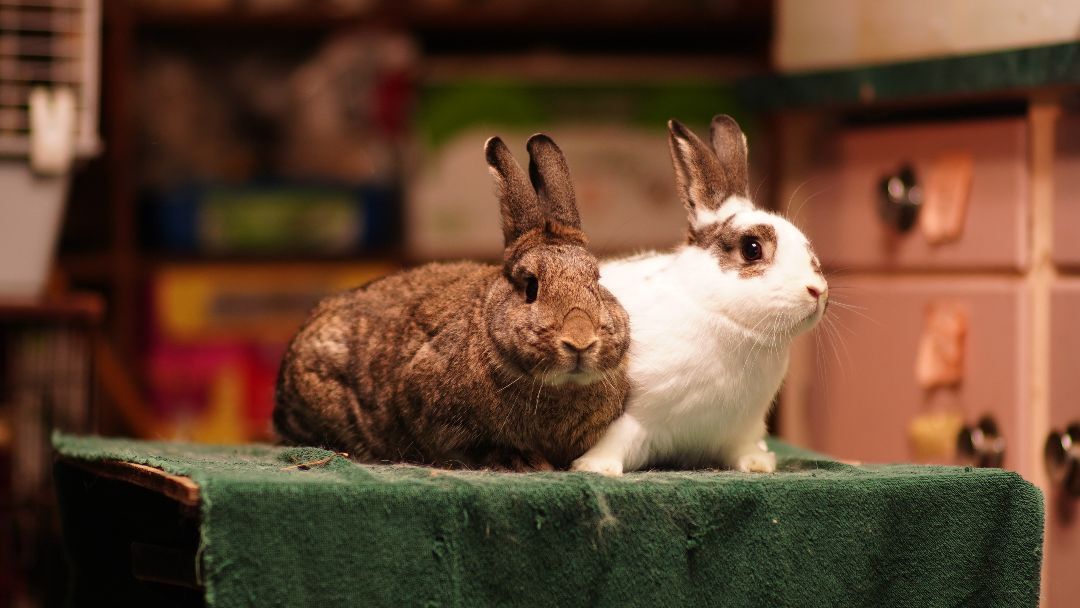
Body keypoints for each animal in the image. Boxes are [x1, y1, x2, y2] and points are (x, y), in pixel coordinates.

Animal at [571, 115, 828, 476]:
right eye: (752, 249)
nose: (818, 290)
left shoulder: (739, 429)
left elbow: (742, 449)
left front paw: (759, 464)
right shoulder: (630, 417)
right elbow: (614, 441)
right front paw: (596, 467)